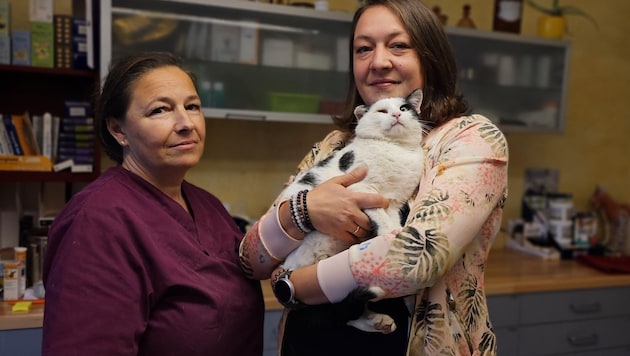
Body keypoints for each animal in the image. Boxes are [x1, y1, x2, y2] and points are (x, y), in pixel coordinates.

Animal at [280, 88, 424, 334]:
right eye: (382, 111)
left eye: (404, 108)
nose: (396, 115)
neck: (397, 150)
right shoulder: (362, 190)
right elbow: (381, 218)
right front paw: (388, 233)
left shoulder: (395, 202)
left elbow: (393, 220)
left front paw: (396, 231)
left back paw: (379, 321)